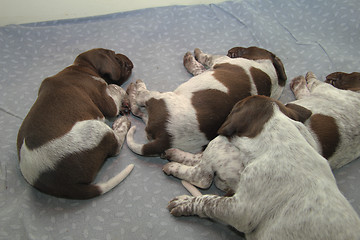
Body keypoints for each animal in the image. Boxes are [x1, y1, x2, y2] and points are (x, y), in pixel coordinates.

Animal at [16, 48, 135, 199]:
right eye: (116, 57)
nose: (131, 63)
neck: (80, 67)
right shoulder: (106, 101)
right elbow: (114, 88)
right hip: (96, 129)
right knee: (116, 146)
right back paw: (121, 123)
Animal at [126, 46, 286, 156]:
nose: (230, 50)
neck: (268, 71)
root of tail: (165, 138)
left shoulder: (220, 60)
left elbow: (206, 57)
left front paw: (195, 55)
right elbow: (199, 68)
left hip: (160, 97)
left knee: (139, 102)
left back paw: (136, 89)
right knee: (140, 113)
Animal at [164, 94, 360, 240]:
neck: (282, 142)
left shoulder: (239, 210)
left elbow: (207, 201)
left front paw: (184, 203)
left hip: (218, 147)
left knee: (202, 177)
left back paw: (175, 166)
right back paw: (176, 154)